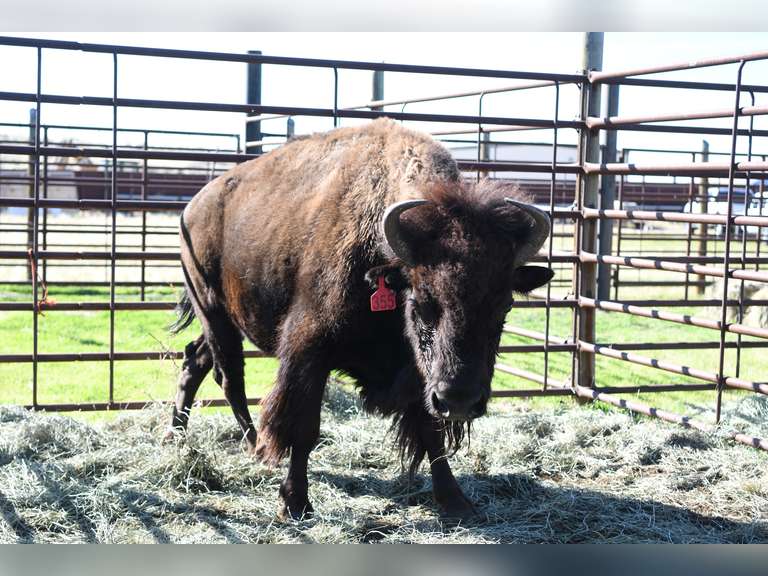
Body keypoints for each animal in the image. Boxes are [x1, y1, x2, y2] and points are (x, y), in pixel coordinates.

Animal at [166, 118, 553, 520]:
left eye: (504, 307)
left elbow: (430, 430)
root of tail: (192, 207)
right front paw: (294, 502)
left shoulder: (419, 375)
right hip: (214, 312)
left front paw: (454, 499)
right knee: (229, 378)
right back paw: (255, 448)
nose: (460, 399)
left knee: (195, 360)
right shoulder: (309, 349)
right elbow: (305, 426)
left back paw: (174, 436)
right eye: (419, 301)